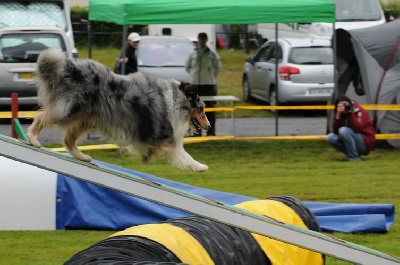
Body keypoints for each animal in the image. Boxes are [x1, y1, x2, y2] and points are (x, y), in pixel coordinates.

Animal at [26, 47, 211, 171]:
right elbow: (183, 154)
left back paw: (83, 157)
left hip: (85, 119)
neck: (176, 100)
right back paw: (33, 139)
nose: (209, 126)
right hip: (69, 110)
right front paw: (200, 166)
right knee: (42, 117)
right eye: (201, 109)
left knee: (68, 140)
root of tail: (72, 68)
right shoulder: (167, 140)